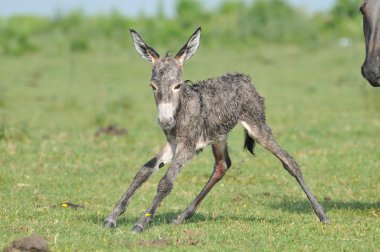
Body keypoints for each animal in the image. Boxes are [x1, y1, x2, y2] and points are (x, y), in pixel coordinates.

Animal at [102, 27, 328, 232]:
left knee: (289, 161)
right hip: (219, 135)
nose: (165, 121)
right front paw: (112, 217)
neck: (182, 109)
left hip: (257, 125)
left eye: (177, 85)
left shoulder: (188, 146)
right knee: (222, 165)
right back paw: (181, 217)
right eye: (153, 86)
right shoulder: (173, 144)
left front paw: (141, 223)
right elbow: (144, 171)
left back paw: (322, 214)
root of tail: (245, 78)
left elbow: (166, 181)